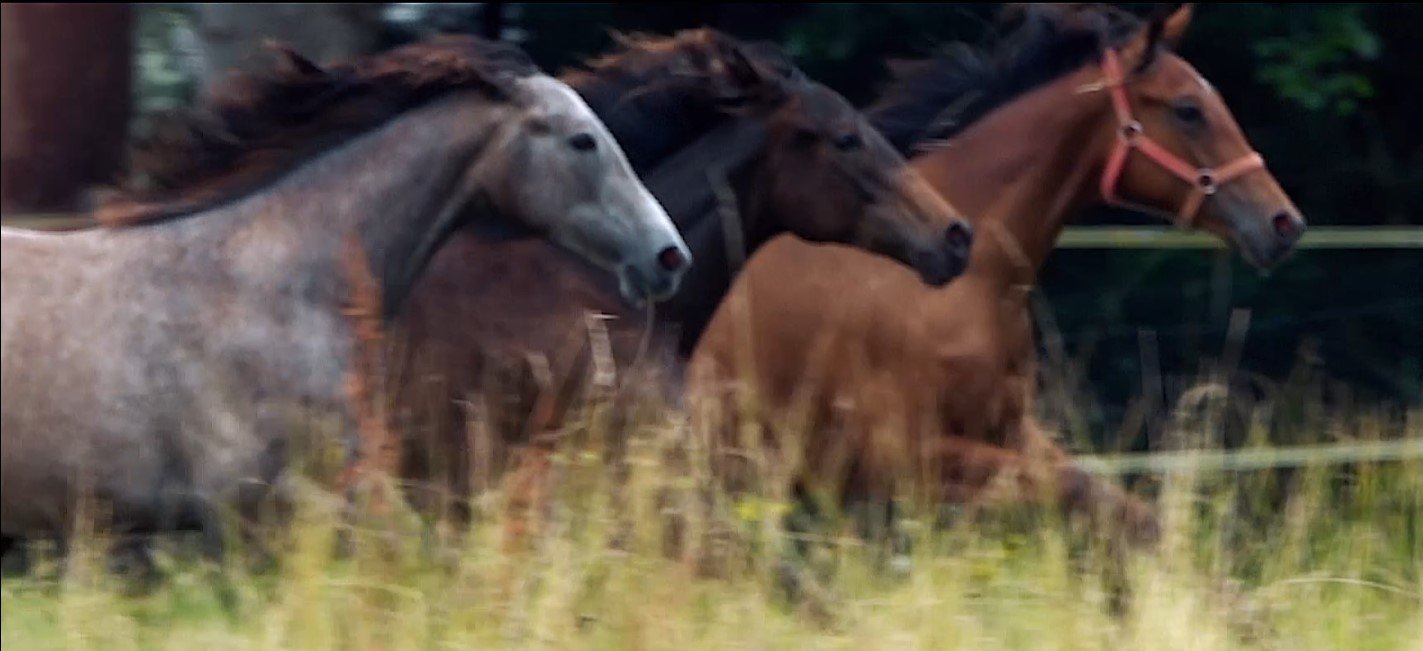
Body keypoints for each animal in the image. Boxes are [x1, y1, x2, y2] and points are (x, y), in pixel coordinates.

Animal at [689, 4, 1306, 555]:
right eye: (1188, 109)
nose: (1284, 223)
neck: (966, 281)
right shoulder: (901, 456)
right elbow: (1074, 495)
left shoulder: (1010, 430)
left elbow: (1126, 511)